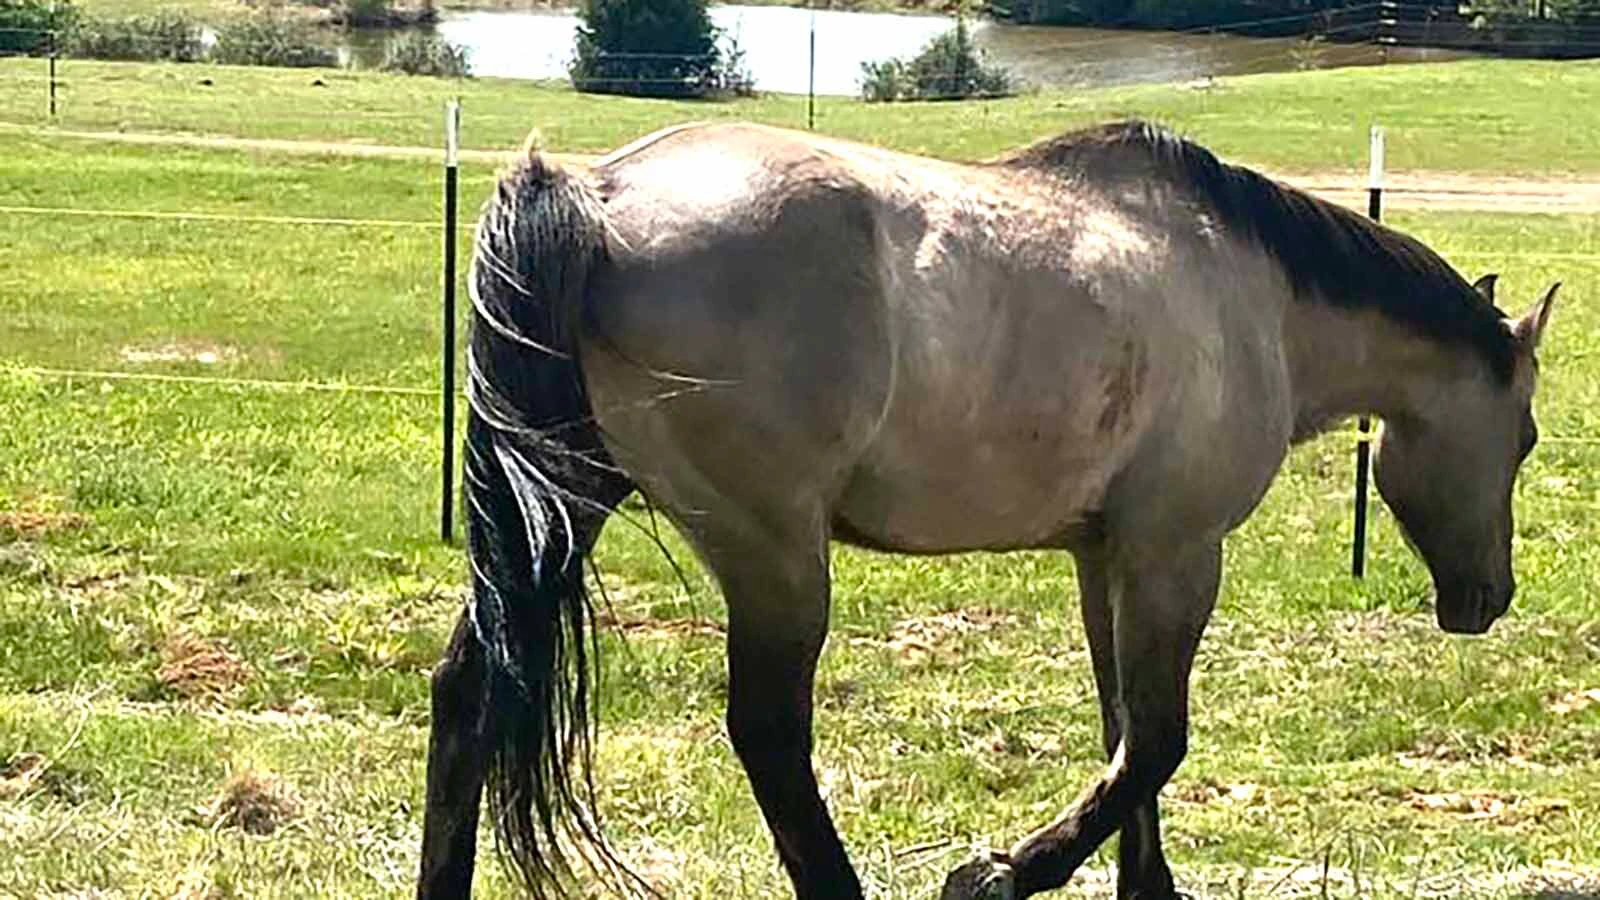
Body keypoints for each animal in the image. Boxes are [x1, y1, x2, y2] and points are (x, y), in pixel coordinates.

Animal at [416, 120, 1557, 900]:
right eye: (1529, 439)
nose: (1488, 597)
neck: (1255, 299)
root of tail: (599, 194)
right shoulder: (1177, 554)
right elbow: (1157, 743)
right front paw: (1003, 873)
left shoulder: (1107, 559)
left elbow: (1124, 733)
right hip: (774, 557)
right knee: (770, 735)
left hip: (572, 506)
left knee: (470, 691)